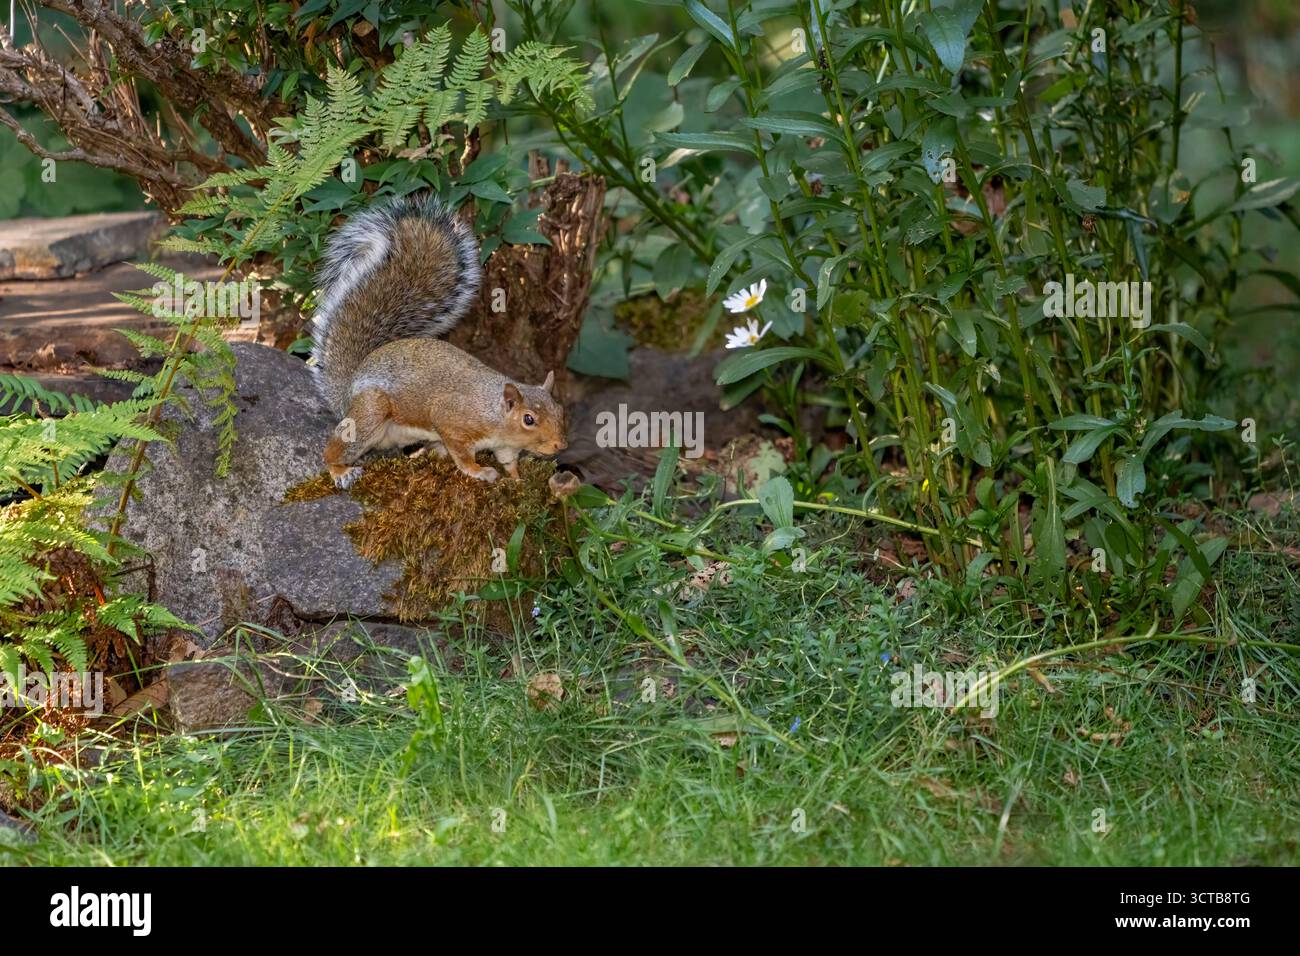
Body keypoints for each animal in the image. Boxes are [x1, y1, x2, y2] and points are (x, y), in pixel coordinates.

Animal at [310, 193, 568, 488]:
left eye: (560, 410)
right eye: (528, 419)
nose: (561, 445)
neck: (493, 411)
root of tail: (348, 392)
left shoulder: (505, 446)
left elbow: (508, 462)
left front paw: (516, 480)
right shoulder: (451, 420)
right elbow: (461, 453)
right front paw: (479, 470)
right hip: (370, 414)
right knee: (338, 447)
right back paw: (340, 470)